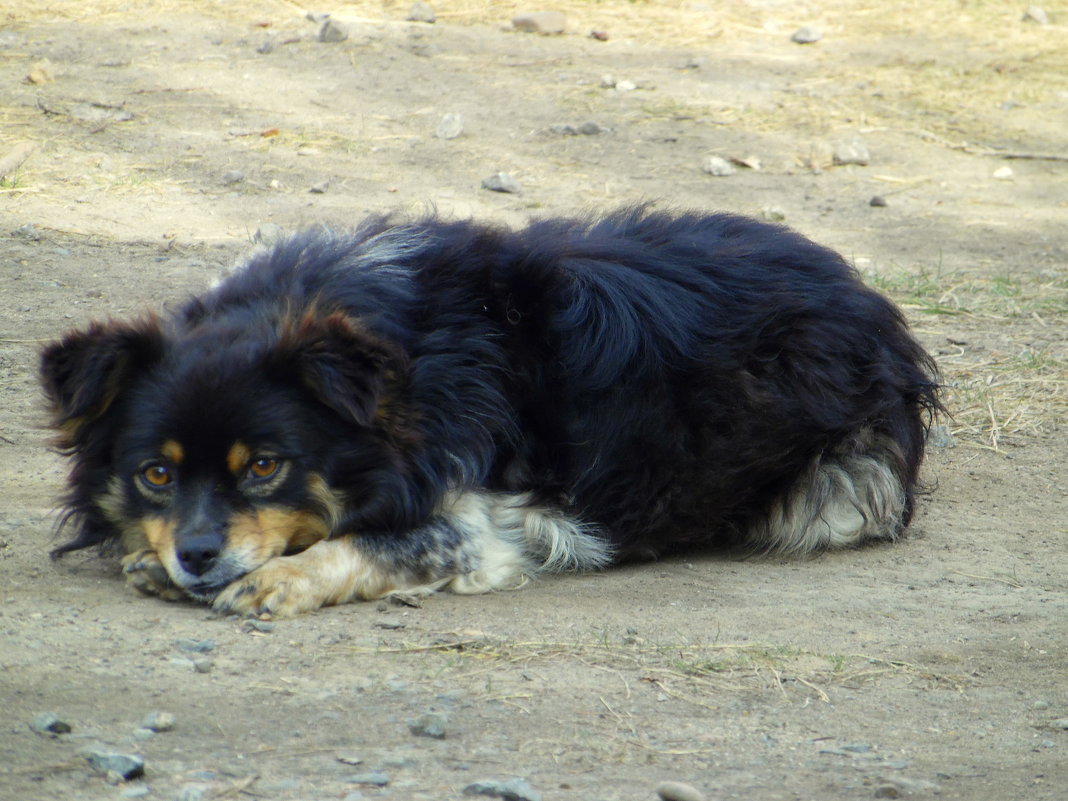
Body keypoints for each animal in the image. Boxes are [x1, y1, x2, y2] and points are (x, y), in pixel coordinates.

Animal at [39, 205, 944, 615]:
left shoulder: (493, 518)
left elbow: (382, 540)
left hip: (839, 489)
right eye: (155, 474)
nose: (196, 556)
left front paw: (278, 579)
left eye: (265, 466)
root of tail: (867, 292)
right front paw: (159, 559)